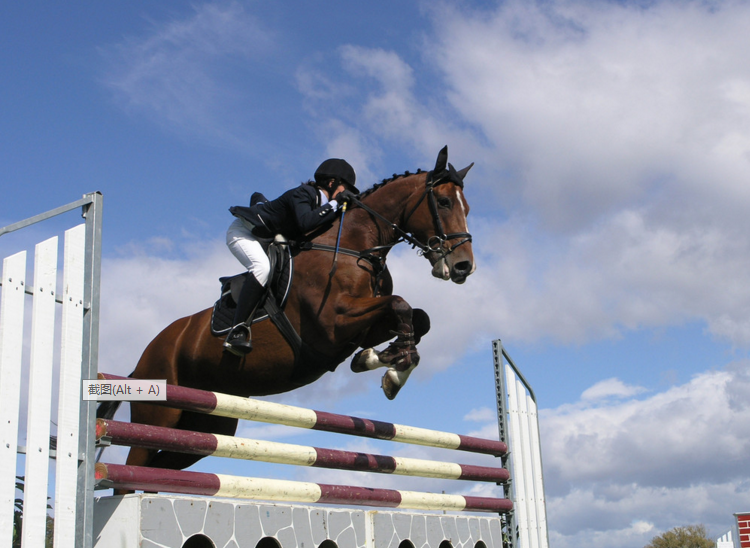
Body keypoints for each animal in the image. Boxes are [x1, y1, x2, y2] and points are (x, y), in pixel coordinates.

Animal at [101, 146, 476, 470]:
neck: (357, 247)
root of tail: (141, 362)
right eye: (443, 202)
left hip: (206, 425)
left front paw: (382, 361)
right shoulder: (333, 324)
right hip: (159, 412)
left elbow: (418, 318)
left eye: (467, 208)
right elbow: (402, 306)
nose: (463, 267)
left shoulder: (360, 327)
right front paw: (392, 370)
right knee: (129, 474)